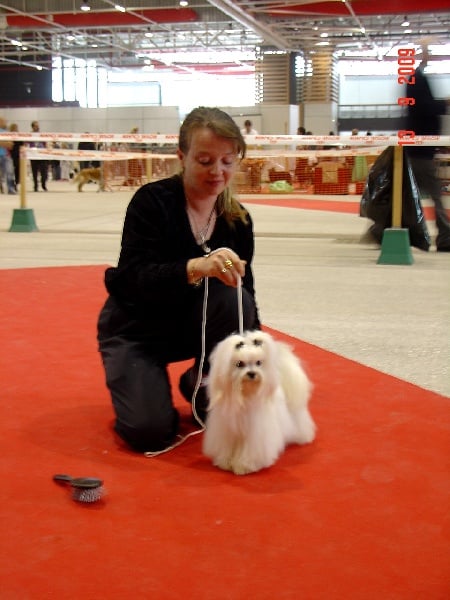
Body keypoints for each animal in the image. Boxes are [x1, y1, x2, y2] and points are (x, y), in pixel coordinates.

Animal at [203, 330, 316, 475]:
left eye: (258, 363)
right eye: (239, 364)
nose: (252, 373)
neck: (246, 395)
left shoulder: (255, 434)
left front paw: (244, 466)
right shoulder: (228, 431)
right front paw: (225, 462)